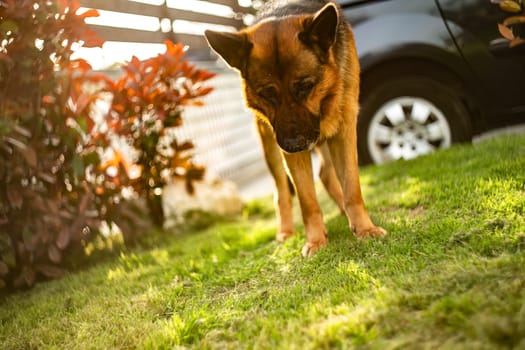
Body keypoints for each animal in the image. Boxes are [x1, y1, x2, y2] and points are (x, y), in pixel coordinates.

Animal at [205, 0, 384, 258]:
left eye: (305, 87)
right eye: (267, 94)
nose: (293, 145)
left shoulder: (343, 131)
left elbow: (352, 188)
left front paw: (364, 228)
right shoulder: (291, 150)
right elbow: (307, 201)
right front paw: (316, 241)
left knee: (326, 174)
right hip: (270, 146)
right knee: (281, 191)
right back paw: (286, 231)